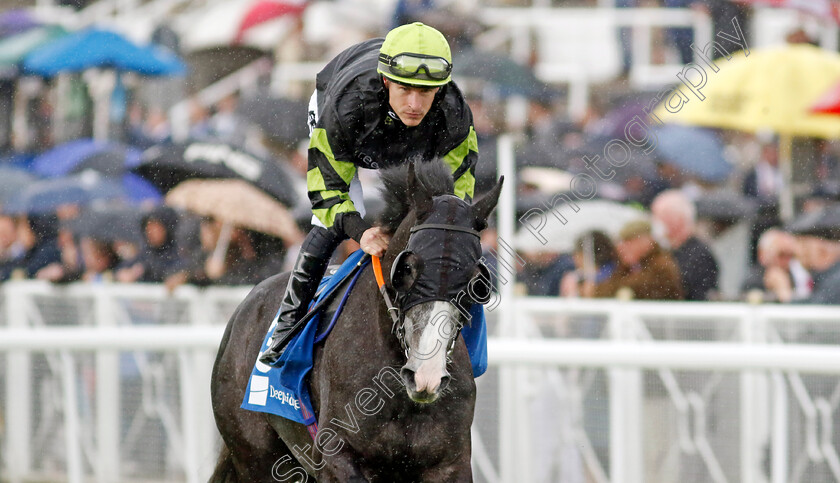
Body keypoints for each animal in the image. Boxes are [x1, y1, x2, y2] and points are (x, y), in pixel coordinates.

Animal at [209, 161, 502, 482]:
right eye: (407, 268)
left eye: (476, 280)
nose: (427, 375)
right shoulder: (336, 457)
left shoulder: (450, 462)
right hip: (257, 457)